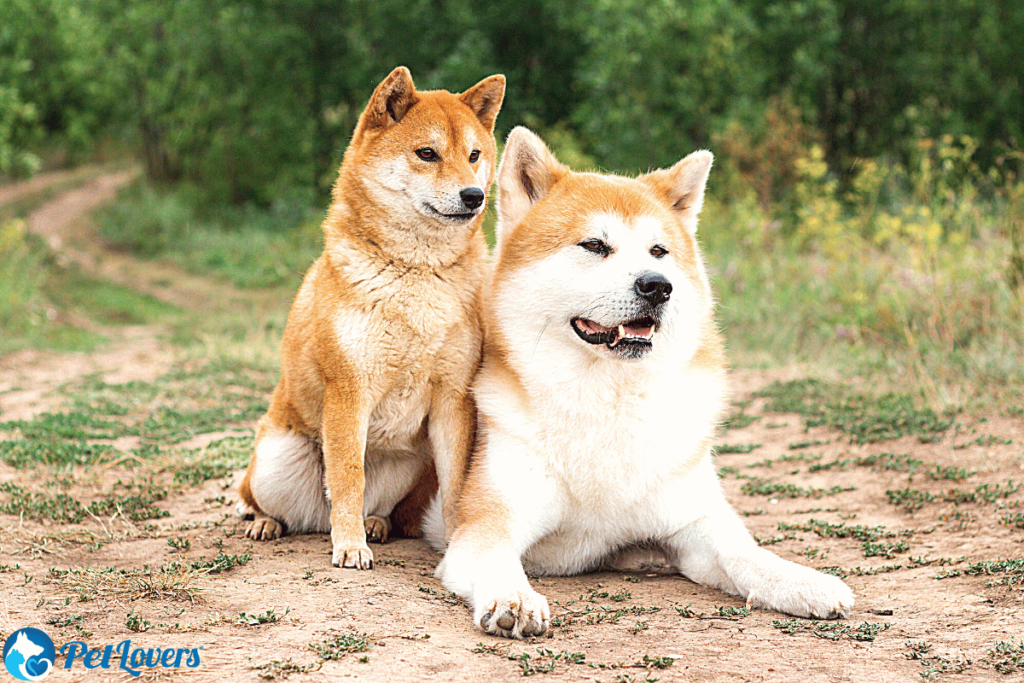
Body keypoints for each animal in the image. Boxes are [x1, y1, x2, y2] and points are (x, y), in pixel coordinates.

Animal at [233, 66, 503, 573]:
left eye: (474, 155)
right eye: (427, 153)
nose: (474, 195)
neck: (416, 272)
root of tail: (313, 517)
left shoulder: (453, 400)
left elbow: (457, 485)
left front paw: (458, 545)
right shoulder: (348, 391)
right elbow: (348, 478)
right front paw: (349, 546)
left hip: (412, 463)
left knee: (380, 508)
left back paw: (374, 525)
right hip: (276, 460)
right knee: (268, 499)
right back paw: (269, 523)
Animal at [432, 127, 856, 643]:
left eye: (659, 252)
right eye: (595, 245)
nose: (657, 286)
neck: (610, 402)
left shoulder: (695, 524)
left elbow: (745, 554)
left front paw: (801, 581)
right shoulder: (487, 525)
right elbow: (498, 562)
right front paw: (514, 597)